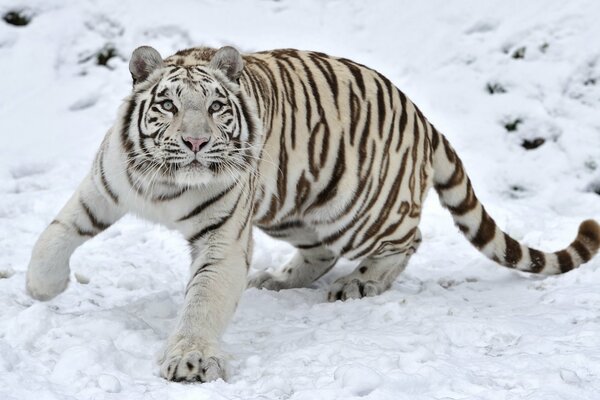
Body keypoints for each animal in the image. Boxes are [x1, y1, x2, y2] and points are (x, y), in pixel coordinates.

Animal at [25, 44, 596, 382]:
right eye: (167, 105)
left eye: (215, 107)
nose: (195, 142)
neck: (167, 183)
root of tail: (422, 116)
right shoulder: (104, 187)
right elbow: (56, 232)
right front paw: (42, 288)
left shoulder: (222, 239)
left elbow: (202, 301)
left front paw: (190, 359)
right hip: (294, 205)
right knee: (319, 250)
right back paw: (278, 280)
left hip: (361, 208)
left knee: (408, 240)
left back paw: (359, 283)